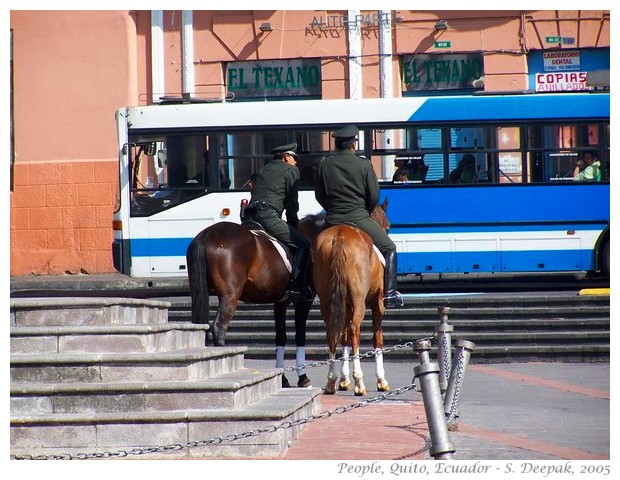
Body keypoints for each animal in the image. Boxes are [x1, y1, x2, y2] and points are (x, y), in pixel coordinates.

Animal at [186, 221, 314, 386]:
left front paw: (283, 378)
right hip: (230, 296)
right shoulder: (304, 302)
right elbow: (300, 336)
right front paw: (302, 378)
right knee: (219, 327)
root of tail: (207, 234)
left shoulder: (280, 303)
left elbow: (281, 337)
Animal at [310, 200, 392, 398]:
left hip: (328, 302)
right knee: (355, 331)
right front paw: (381, 381)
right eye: (388, 227)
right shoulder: (377, 304)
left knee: (332, 333)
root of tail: (339, 236)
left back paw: (331, 381)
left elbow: (344, 337)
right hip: (359, 301)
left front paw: (343, 379)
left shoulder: (345, 305)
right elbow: (377, 338)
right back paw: (359, 382)